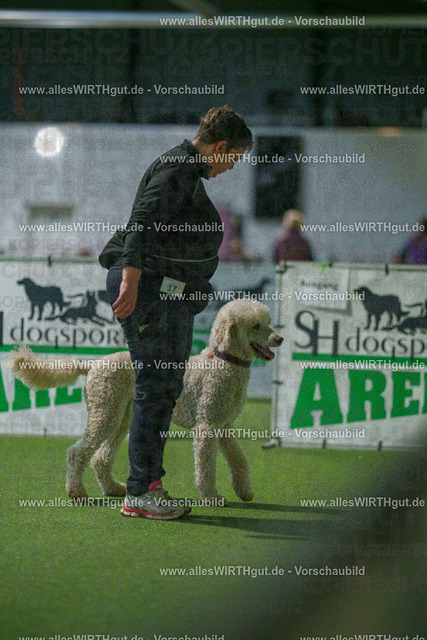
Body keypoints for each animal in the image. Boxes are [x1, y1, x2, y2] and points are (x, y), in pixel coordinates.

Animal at [9, 300, 283, 505]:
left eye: (267, 322)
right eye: (256, 325)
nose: (279, 338)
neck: (223, 362)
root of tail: (92, 364)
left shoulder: (223, 426)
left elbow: (238, 460)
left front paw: (244, 491)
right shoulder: (206, 427)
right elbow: (205, 467)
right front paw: (212, 496)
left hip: (122, 416)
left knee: (100, 457)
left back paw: (112, 488)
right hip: (105, 412)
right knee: (78, 452)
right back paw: (77, 492)